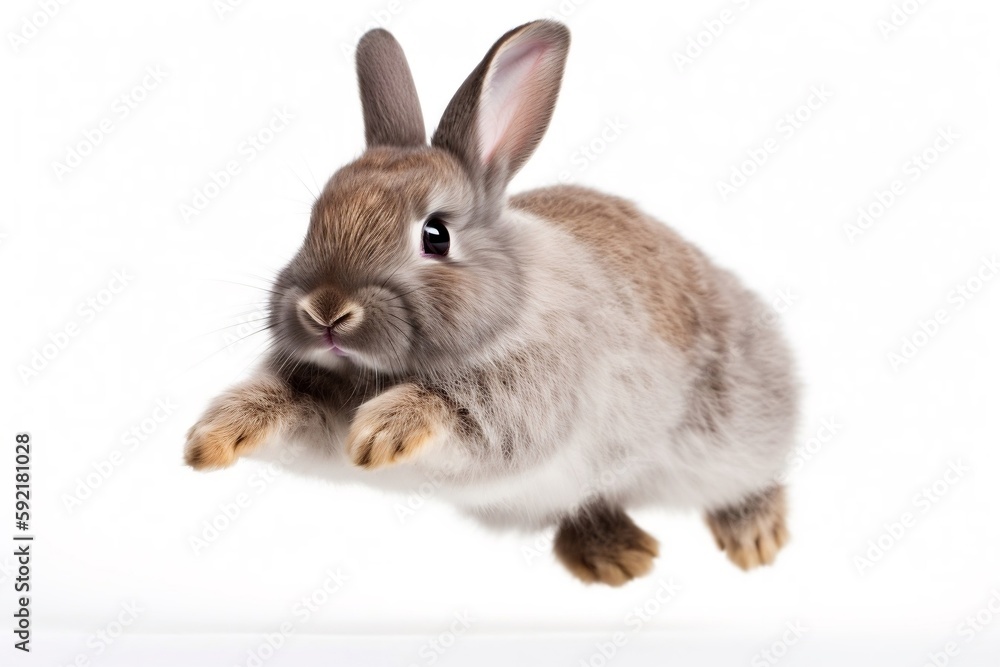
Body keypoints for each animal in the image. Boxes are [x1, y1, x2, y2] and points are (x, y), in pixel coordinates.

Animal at [185, 20, 799, 586]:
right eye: (313, 218)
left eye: (435, 235)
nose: (325, 311)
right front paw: (213, 438)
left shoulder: (522, 402)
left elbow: (457, 413)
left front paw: (381, 434)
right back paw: (618, 558)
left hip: (731, 426)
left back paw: (754, 537)